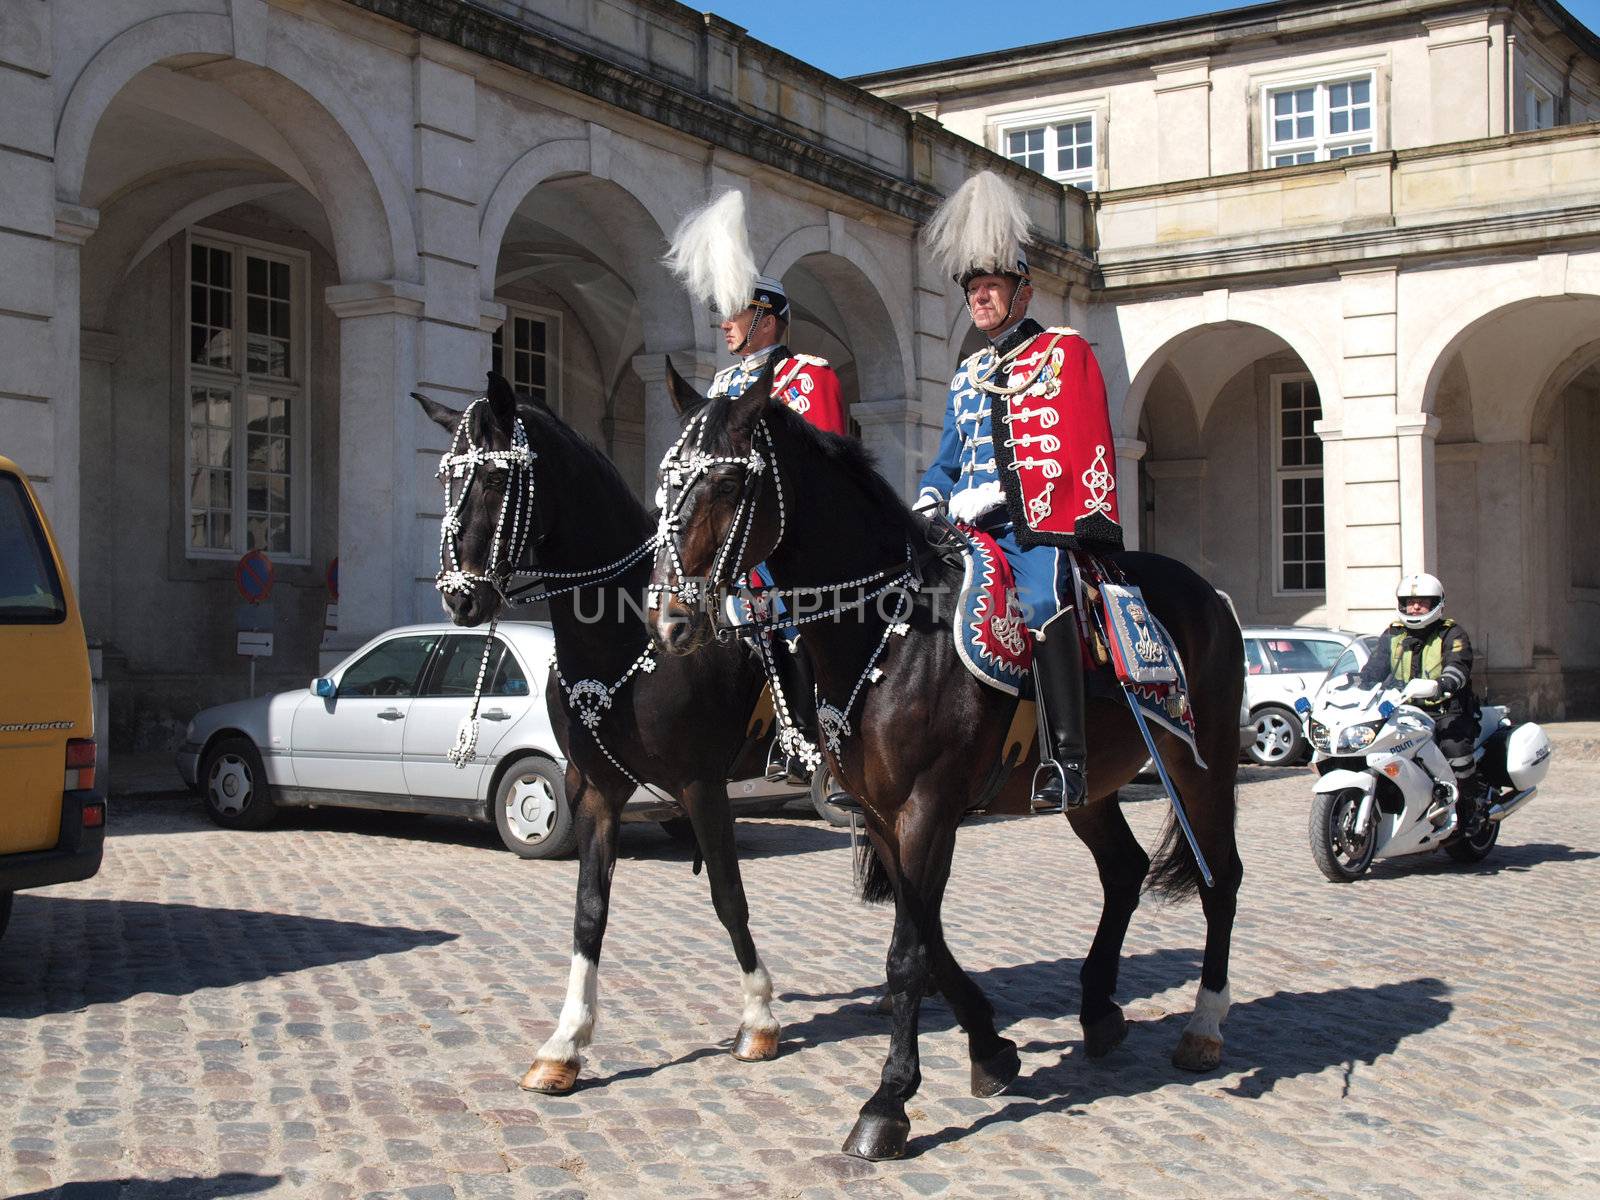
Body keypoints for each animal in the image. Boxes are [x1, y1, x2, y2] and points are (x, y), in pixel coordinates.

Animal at [412, 377, 787, 1100]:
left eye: (497, 477)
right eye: (446, 478)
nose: (459, 598)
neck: (627, 629)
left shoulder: (702, 785)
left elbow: (729, 895)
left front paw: (758, 1015)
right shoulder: (595, 789)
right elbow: (590, 909)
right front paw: (566, 1043)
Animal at [649, 371, 1248, 1158]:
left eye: (726, 484)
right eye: (664, 486)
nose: (669, 622)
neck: (893, 630)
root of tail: (1211, 593)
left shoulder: (929, 807)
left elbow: (908, 954)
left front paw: (888, 1103)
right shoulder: (880, 815)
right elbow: (924, 934)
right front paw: (990, 1048)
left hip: (1199, 767)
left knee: (1220, 878)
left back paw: (1205, 1026)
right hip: (1090, 789)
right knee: (1123, 869)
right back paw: (1098, 1011)